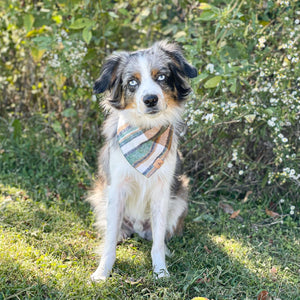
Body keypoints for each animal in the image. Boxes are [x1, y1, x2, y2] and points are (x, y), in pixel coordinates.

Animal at [88, 40, 198, 282]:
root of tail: (137, 227)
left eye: (162, 77)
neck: (146, 132)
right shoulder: (116, 188)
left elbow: (157, 242)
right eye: (132, 82)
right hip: (101, 196)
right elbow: (109, 243)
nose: (150, 99)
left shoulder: (162, 191)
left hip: (180, 199)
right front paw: (102, 272)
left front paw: (161, 271)